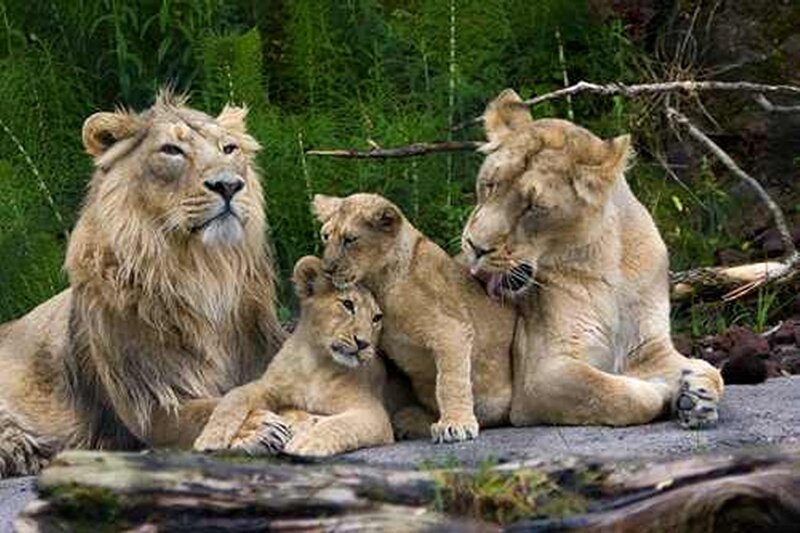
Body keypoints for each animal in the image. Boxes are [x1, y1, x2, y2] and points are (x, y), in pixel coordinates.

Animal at [0, 91, 284, 477]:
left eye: (229, 148)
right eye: (171, 150)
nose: (229, 185)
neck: (204, 274)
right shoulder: (149, 403)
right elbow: (206, 409)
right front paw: (256, 427)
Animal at [194, 255, 393, 457]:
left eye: (376, 318)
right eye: (347, 304)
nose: (363, 343)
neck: (316, 365)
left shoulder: (373, 413)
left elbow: (339, 424)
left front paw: (307, 442)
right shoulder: (268, 386)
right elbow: (234, 396)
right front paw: (211, 436)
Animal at [312, 193, 515, 443]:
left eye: (350, 239)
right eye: (325, 236)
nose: (327, 269)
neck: (379, 283)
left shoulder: (452, 329)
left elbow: (449, 381)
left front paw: (455, 424)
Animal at [461, 89, 724, 429]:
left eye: (534, 207)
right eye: (489, 184)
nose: (475, 247)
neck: (609, 265)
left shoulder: (649, 348)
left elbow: (712, 370)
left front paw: (698, 394)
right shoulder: (541, 375)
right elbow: (625, 395)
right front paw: (670, 393)